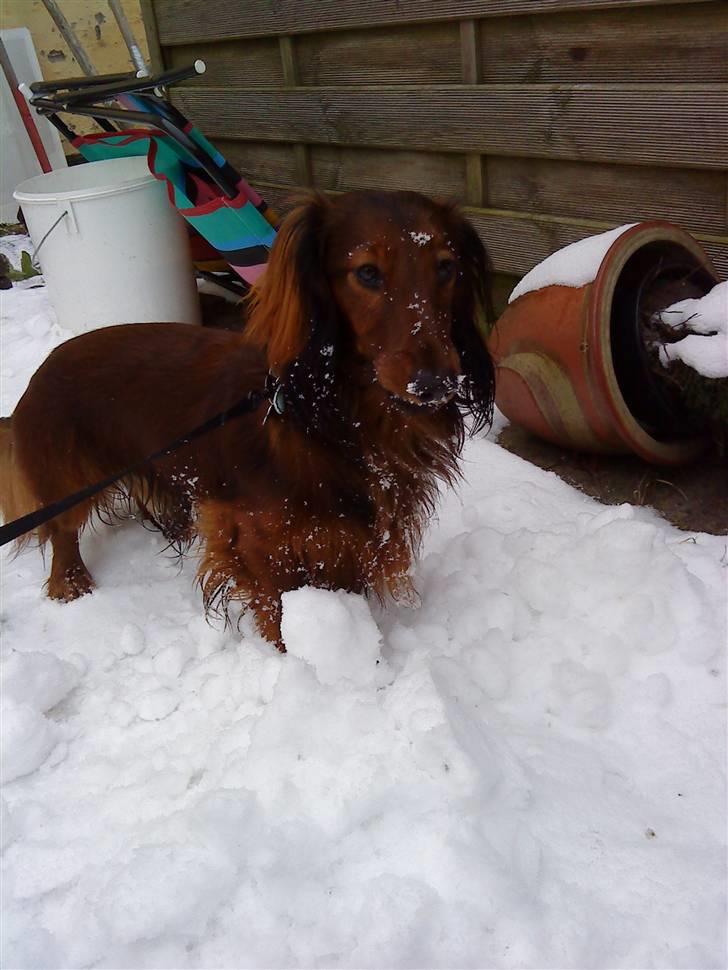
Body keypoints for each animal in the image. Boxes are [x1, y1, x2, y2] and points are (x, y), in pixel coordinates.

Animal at [0, 188, 494, 644]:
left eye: (446, 267)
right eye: (367, 272)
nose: (436, 383)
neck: (338, 419)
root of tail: (42, 371)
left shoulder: (347, 536)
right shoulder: (255, 540)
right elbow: (279, 609)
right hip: (68, 479)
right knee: (61, 531)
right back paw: (70, 583)